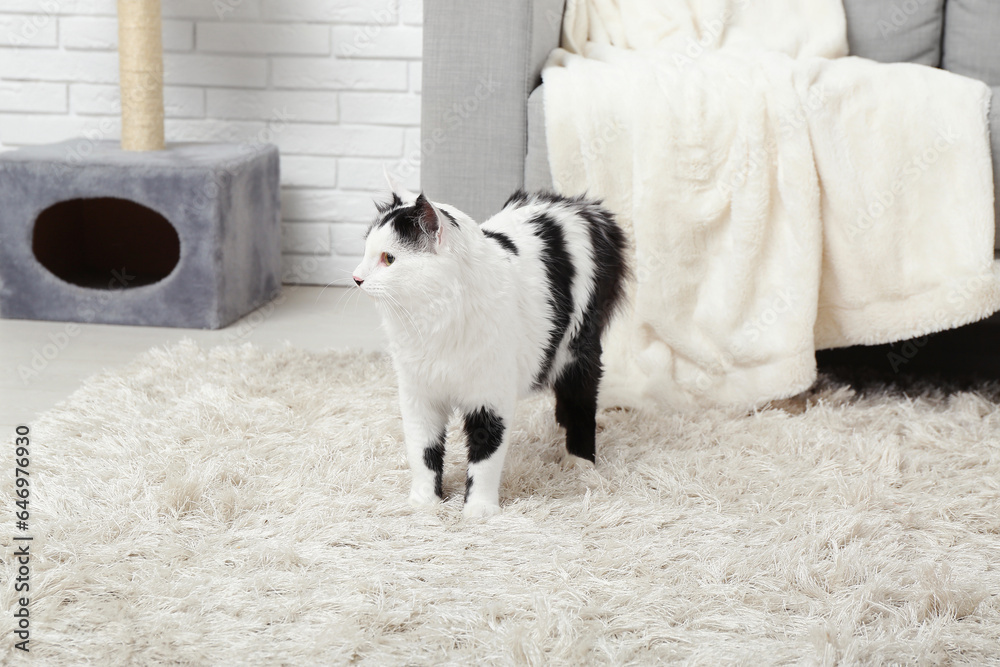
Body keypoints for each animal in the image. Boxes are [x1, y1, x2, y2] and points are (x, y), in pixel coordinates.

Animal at [352, 184, 628, 520]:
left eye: (389, 259)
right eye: (366, 252)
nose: (356, 277)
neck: (433, 327)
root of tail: (579, 205)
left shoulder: (490, 399)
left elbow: (485, 458)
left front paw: (478, 511)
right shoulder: (419, 396)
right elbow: (423, 453)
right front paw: (424, 504)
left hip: (578, 349)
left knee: (582, 403)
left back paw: (579, 462)